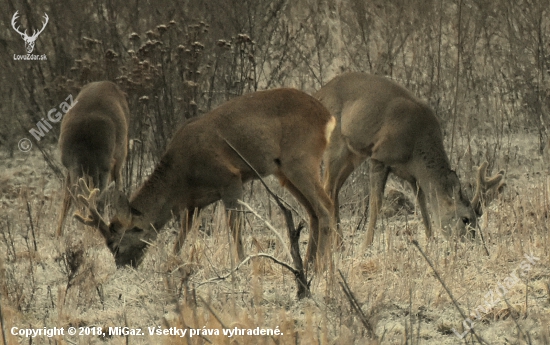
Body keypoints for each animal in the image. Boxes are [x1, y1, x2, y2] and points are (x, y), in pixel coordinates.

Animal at [57, 81, 130, 236]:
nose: (92, 235)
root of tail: (106, 82)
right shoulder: (68, 165)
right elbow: (66, 200)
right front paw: (58, 235)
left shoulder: (104, 165)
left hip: (121, 150)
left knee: (118, 182)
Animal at [73, 87, 336, 268]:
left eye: (116, 245)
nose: (123, 267)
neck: (182, 176)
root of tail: (327, 116)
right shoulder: (194, 202)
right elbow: (183, 234)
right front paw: (172, 263)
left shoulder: (230, 178)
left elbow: (235, 225)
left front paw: (241, 264)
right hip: (284, 171)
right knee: (313, 212)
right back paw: (308, 264)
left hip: (300, 159)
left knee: (325, 206)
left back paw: (321, 268)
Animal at [316, 71, 506, 246]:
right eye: (465, 219)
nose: (470, 243)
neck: (416, 145)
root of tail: (320, 93)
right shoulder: (380, 157)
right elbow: (376, 203)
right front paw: (366, 246)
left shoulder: (413, 175)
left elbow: (421, 203)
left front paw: (430, 240)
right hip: (335, 145)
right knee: (328, 188)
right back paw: (336, 244)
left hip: (354, 154)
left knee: (334, 190)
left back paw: (339, 243)